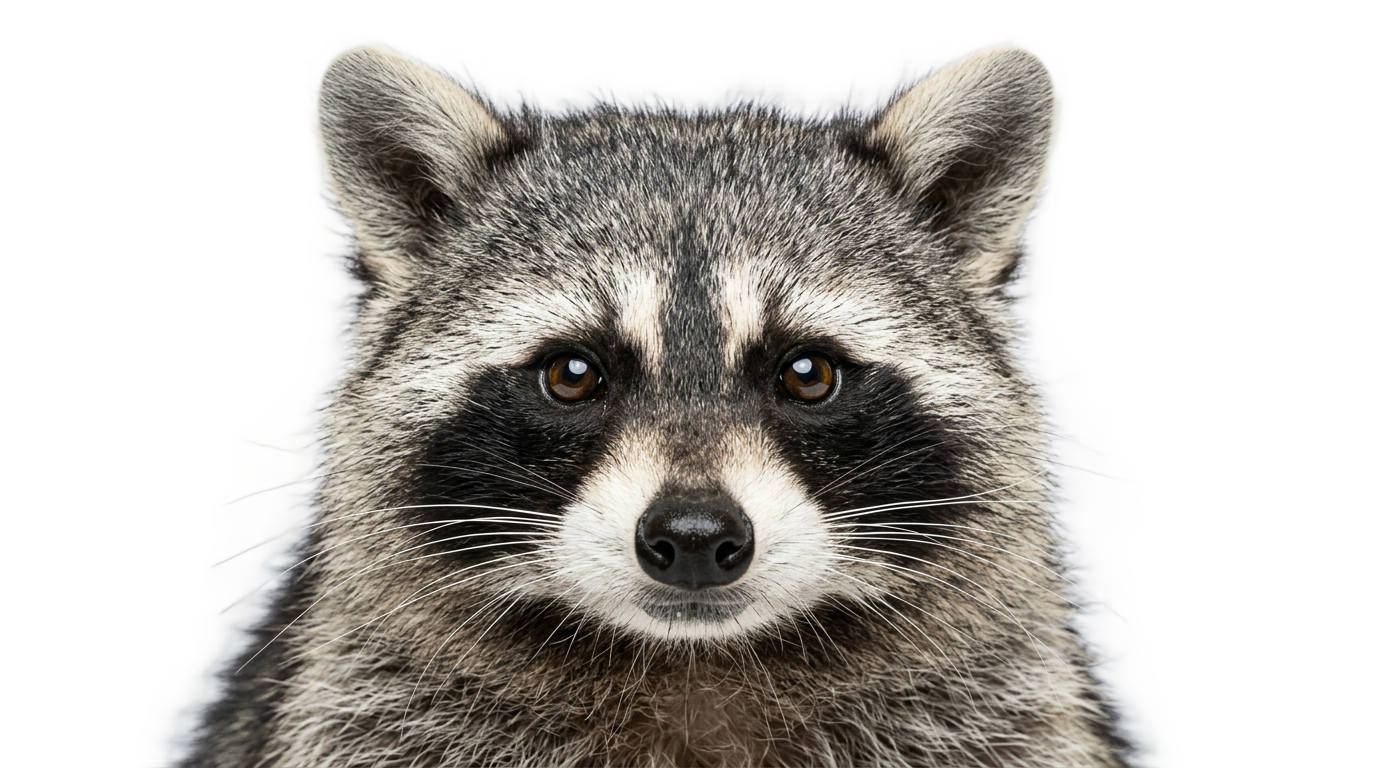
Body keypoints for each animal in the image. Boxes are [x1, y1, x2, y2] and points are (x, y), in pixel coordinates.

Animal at [173, 45, 1133, 767]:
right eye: (572, 373)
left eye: (808, 373)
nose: (697, 538)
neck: (694, 664)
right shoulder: (367, 709)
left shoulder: (1000, 714)